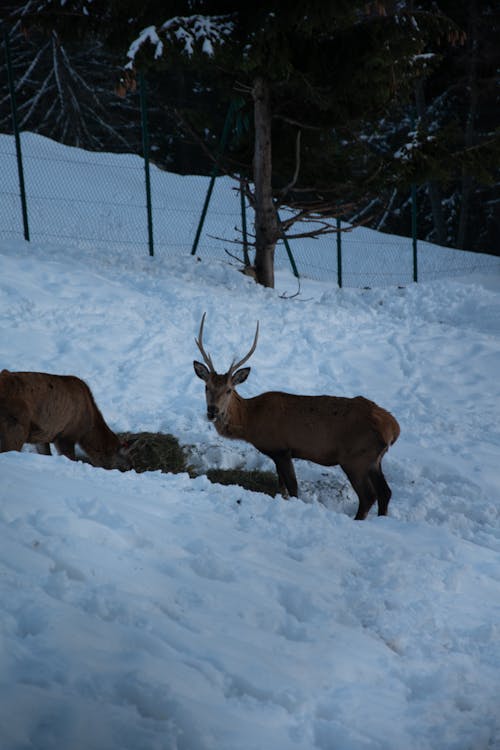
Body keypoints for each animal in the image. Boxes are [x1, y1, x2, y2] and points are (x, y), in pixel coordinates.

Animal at [0, 370, 133, 470]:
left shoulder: (43, 434)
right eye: (122, 465)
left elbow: (45, 452)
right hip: (16, 425)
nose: (129, 468)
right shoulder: (66, 436)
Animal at [193, 314, 400, 520]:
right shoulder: (277, 453)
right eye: (206, 387)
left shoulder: (281, 449)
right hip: (373, 460)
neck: (251, 421)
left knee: (368, 496)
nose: (212, 411)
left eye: (229, 390)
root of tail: (393, 429)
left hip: (355, 458)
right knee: (385, 492)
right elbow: (282, 485)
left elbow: (293, 487)